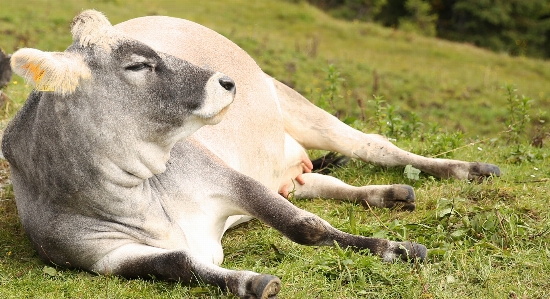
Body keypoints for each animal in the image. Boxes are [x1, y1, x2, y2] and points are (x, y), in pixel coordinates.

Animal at [3, 9, 500, 299]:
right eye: (139, 64)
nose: (226, 81)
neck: (133, 193)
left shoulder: (225, 177)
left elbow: (305, 227)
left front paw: (393, 248)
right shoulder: (103, 257)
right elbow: (178, 262)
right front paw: (250, 281)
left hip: (297, 105)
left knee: (378, 146)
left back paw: (470, 169)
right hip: (289, 168)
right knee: (322, 182)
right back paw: (391, 194)